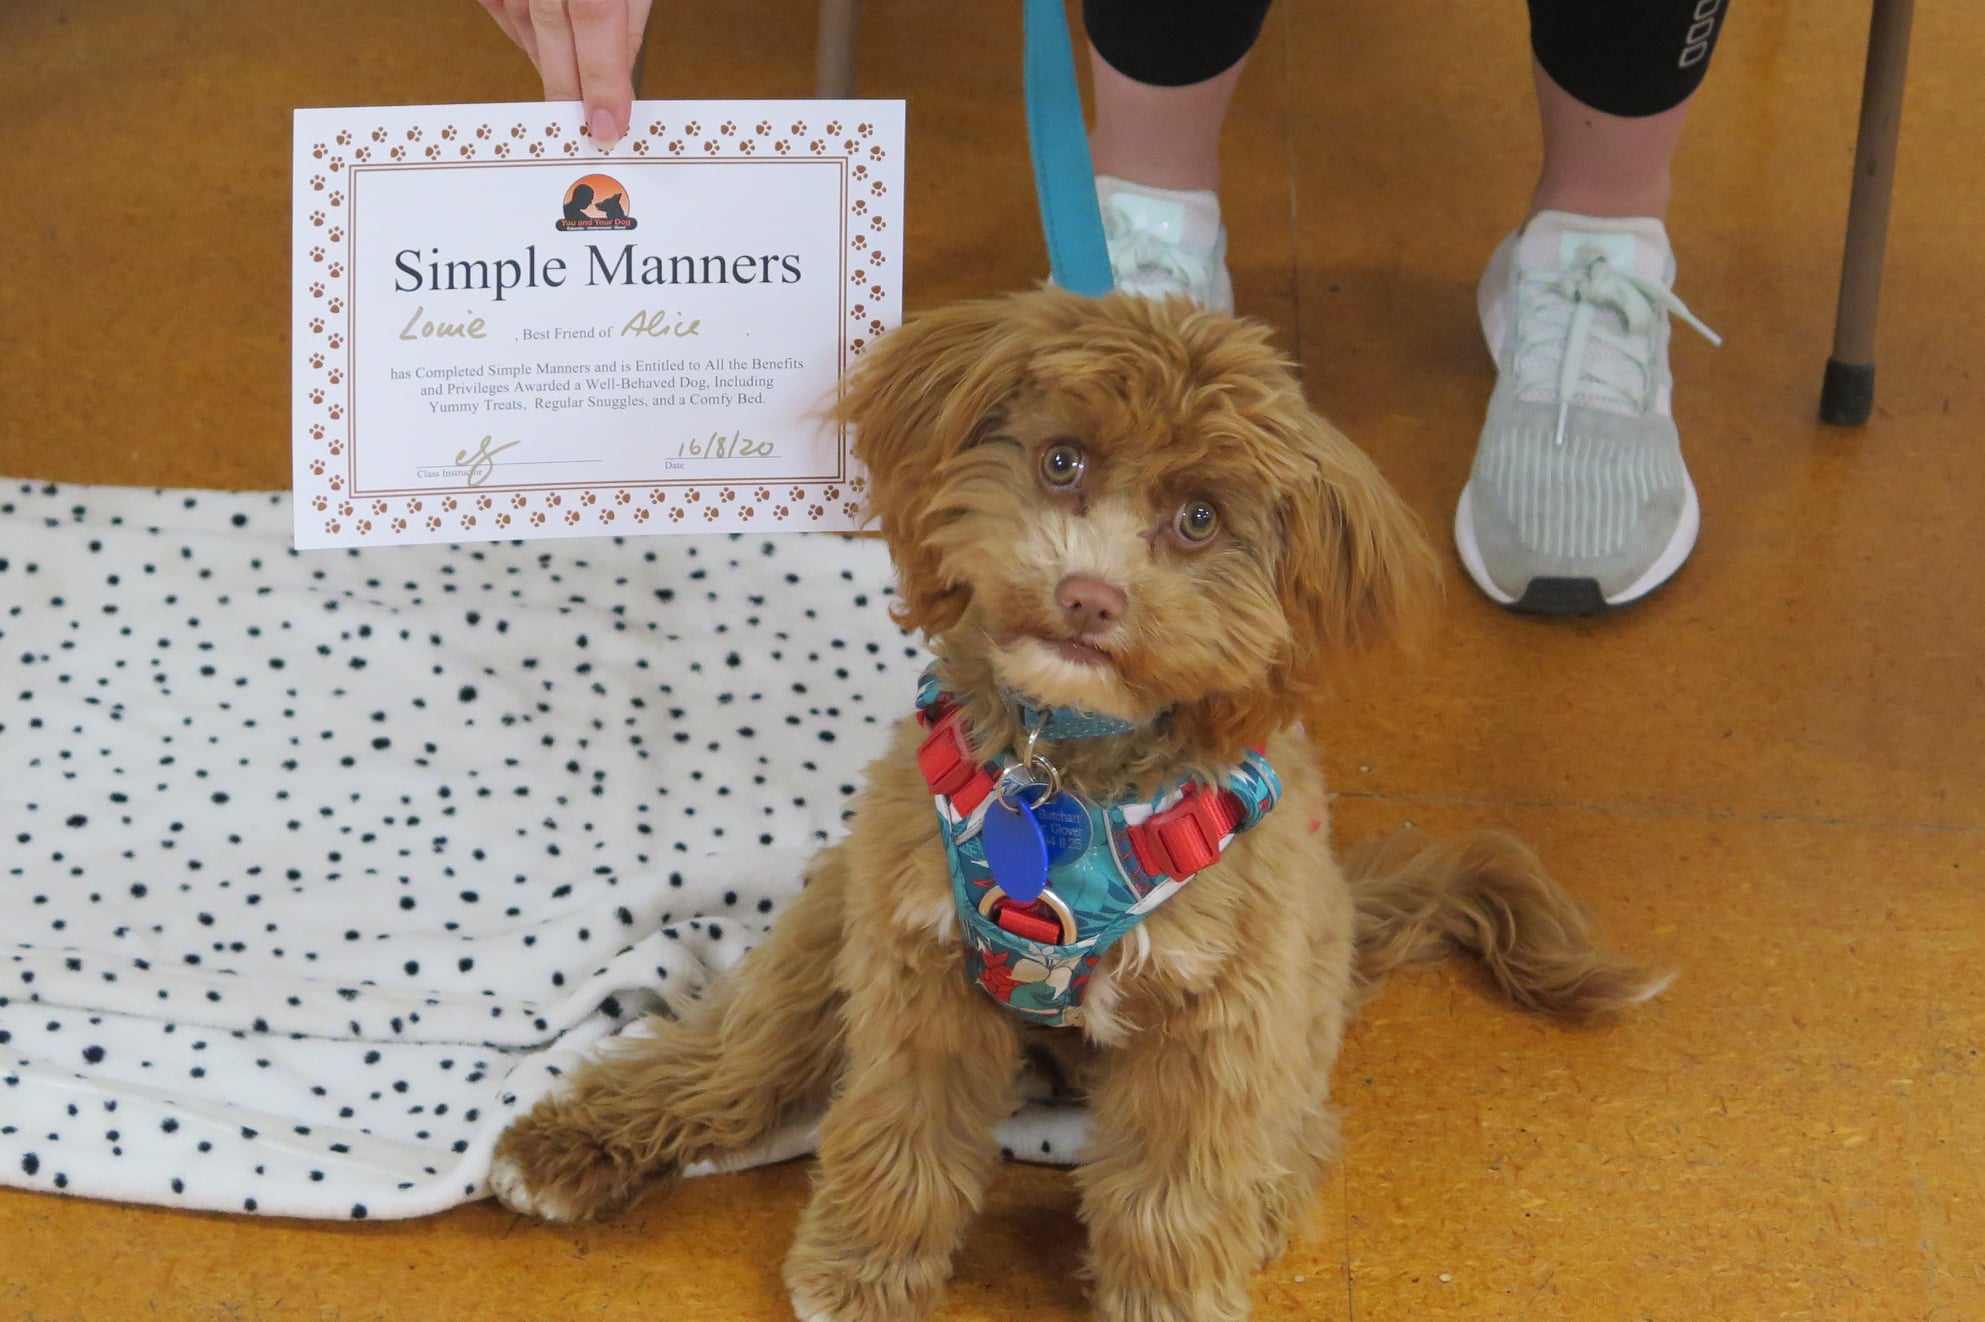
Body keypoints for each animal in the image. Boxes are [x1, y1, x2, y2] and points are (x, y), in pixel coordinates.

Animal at [488, 291, 1667, 1318]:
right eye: (1062, 461)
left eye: (1198, 518)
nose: (1089, 597)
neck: (1061, 777)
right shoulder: (917, 969)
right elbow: (897, 1131)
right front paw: (862, 1268)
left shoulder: (1215, 1018)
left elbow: (1171, 1189)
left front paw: (1171, 1296)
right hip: (833, 920)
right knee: (737, 1050)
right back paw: (577, 1145)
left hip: (1295, 998)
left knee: (1290, 1134)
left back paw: (1264, 1199)